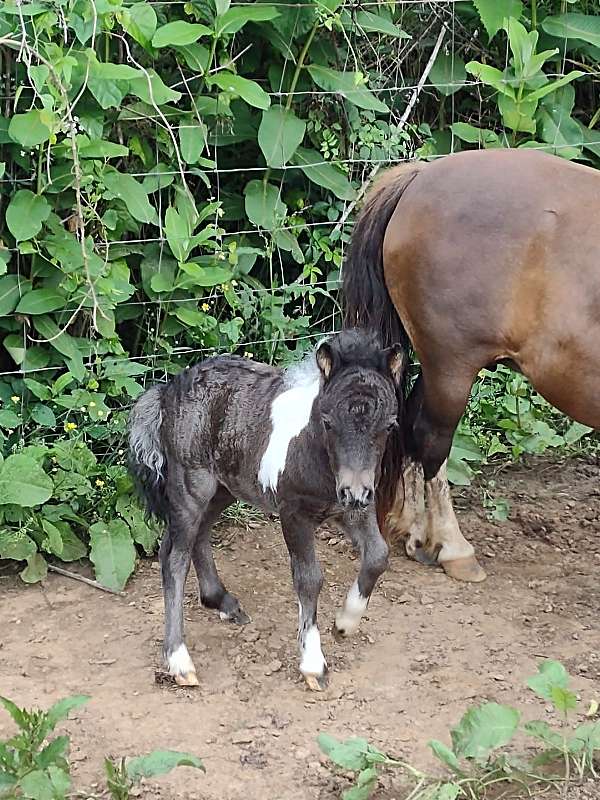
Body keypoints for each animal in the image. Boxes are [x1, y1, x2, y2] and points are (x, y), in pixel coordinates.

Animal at [130, 328, 404, 692]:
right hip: (192, 486)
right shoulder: (294, 513)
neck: (315, 454)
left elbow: (377, 556)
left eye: (389, 425)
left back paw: (222, 601)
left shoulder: (352, 508)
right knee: (174, 558)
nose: (355, 491)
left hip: (224, 488)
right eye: (328, 422)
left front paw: (345, 623)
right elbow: (309, 579)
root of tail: (168, 391)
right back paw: (179, 661)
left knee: (194, 537)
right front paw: (313, 664)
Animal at [344, 148, 600, 580]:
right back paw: (452, 547)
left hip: (434, 366)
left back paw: (415, 530)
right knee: (431, 439)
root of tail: (421, 175)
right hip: (451, 366)